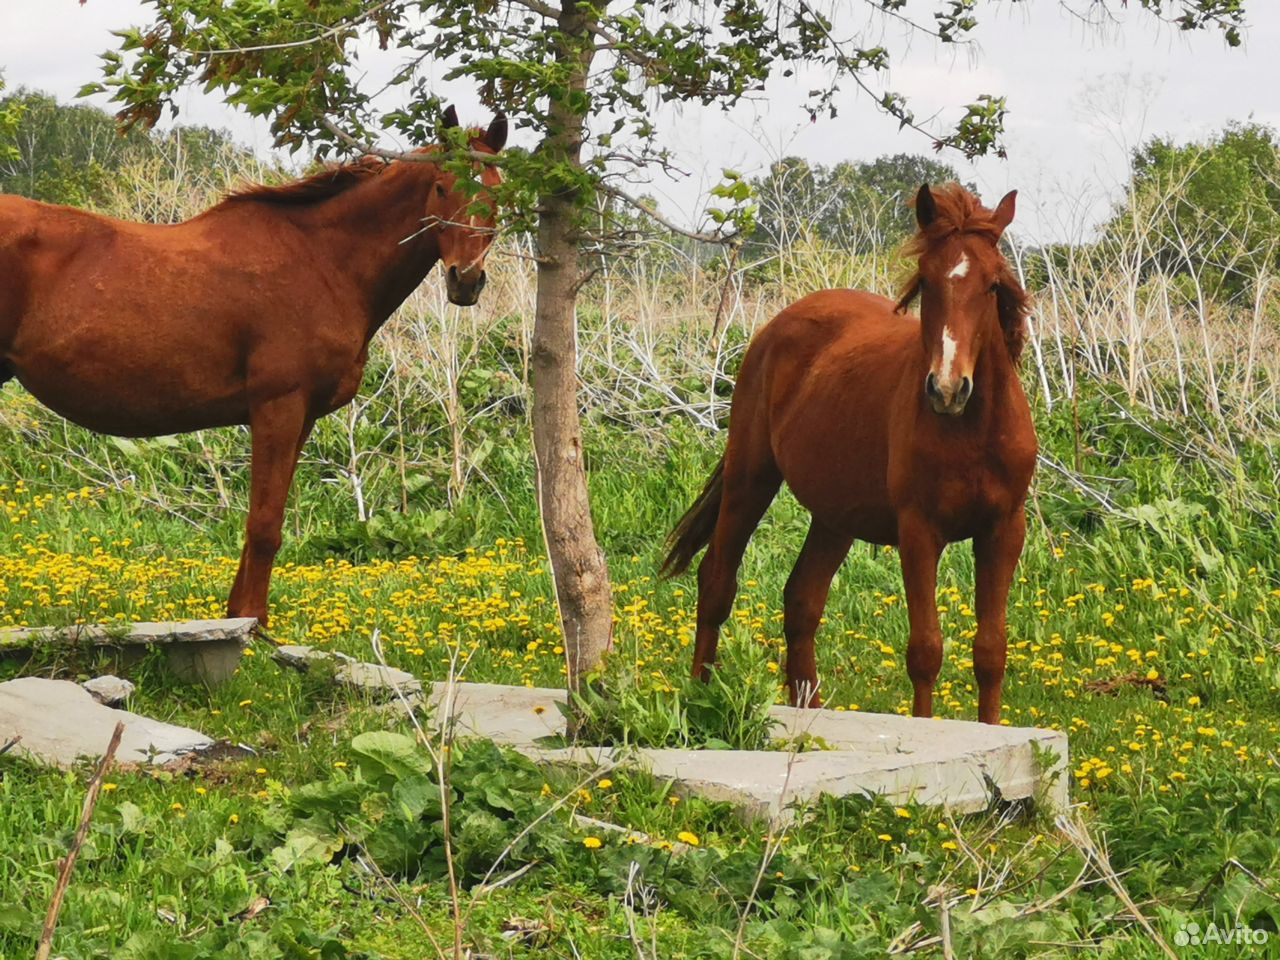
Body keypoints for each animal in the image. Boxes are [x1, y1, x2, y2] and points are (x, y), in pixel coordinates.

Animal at [0, 108, 509, 627]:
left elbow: (265, 519)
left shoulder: (301, 416)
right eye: (442, 187)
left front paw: (241, 619)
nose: (466, 279)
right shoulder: (278, 407)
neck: (321, 260)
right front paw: (256, 627)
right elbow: (264, 525)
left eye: (498, 190)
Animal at [665, 184, 1034, 721]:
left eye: (991, 285)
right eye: (927, 282)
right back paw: (698, 698)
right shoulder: (919, 530)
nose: (947, 389)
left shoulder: (1004, 529)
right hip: (750, 478)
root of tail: (777, 327)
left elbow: (991, 651)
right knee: (716, 582)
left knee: (801, 600)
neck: (972, 433)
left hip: (834, 516)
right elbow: (926, 650)